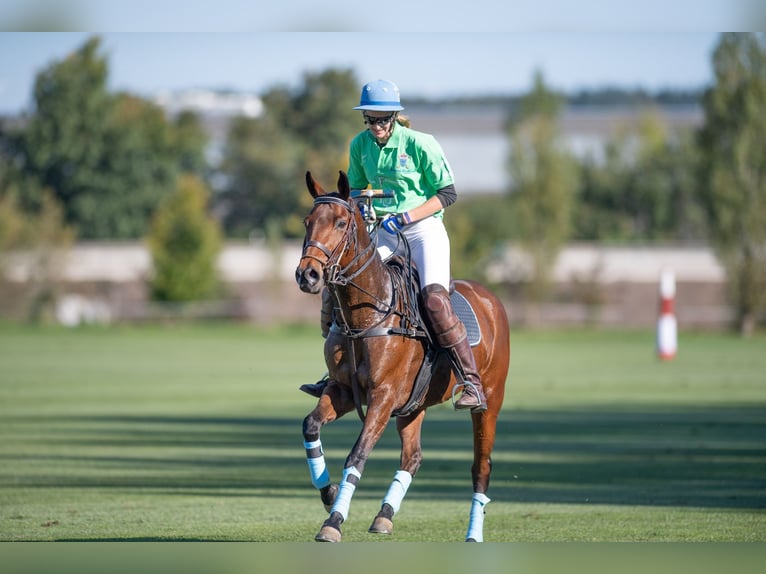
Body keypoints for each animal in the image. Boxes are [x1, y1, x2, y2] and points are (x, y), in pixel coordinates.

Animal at [295, 171, 510, 542]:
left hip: (491, 400)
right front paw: (329, 493)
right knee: (412, 456)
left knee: (481, 466)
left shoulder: (383, 397)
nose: (307, 275)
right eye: (308, 222)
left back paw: (473, 533)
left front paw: (333, 521)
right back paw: (384, 515)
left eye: (340, 223)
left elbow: (357, 454)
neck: (365, 315)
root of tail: (491, 298)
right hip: (414, 405)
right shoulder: (343, 391)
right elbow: (311, 426)